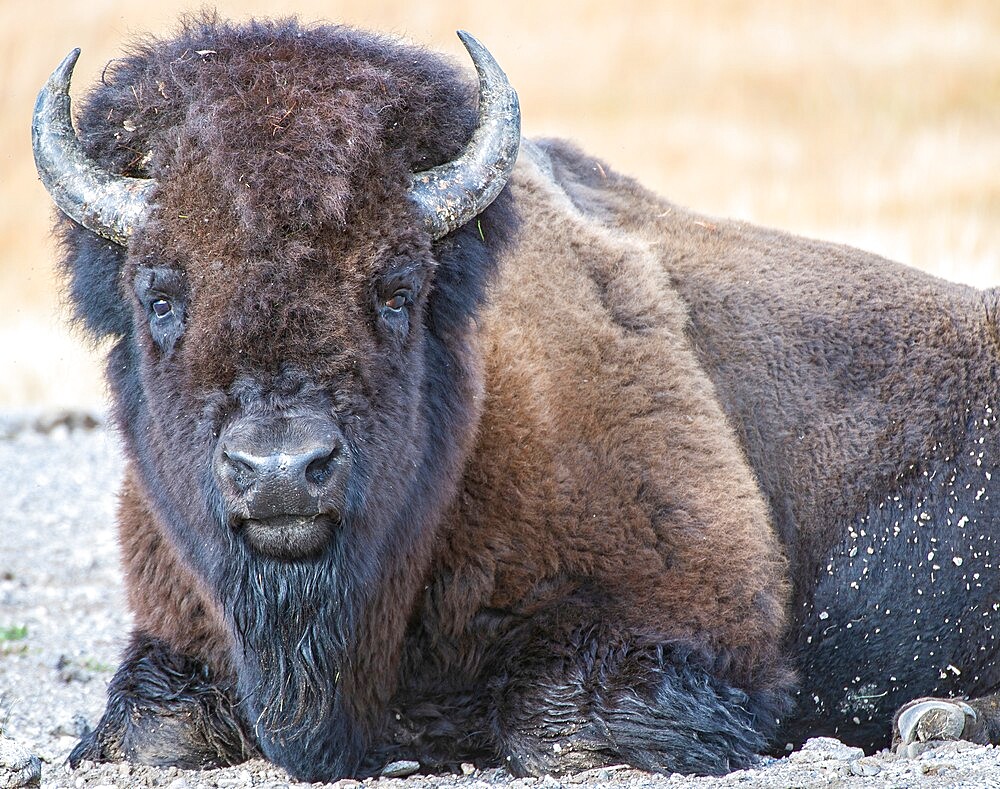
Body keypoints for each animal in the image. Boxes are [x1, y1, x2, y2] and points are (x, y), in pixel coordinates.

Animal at [31, 12, 1000, 780]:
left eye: (396, 287)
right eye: (161, 295)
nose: (279, 471)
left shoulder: (702, 625)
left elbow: (556, 726)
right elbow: (153, 729)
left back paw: (931, 719)